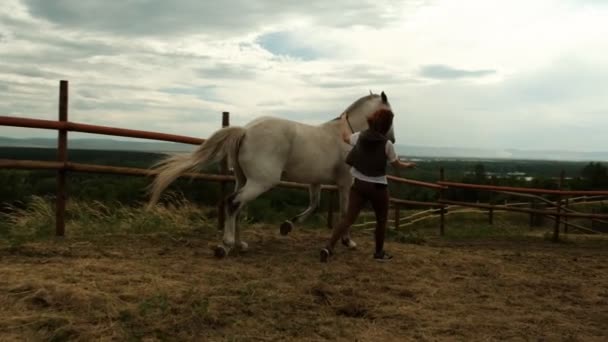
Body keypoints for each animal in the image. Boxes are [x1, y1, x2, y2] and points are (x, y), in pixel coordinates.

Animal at [146, 91, 394, 256]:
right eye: (391, 115)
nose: (391, 138)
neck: (347, 136)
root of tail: (245, 131)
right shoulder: (345, 182)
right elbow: (345, 213)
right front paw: (348, 242)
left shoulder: (314, 182)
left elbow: (314, 205)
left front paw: (288, 226)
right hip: (262, 181)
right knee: (233, 203)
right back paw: (226, 245)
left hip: (244, 179)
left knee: (237, 206)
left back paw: (240, 244)